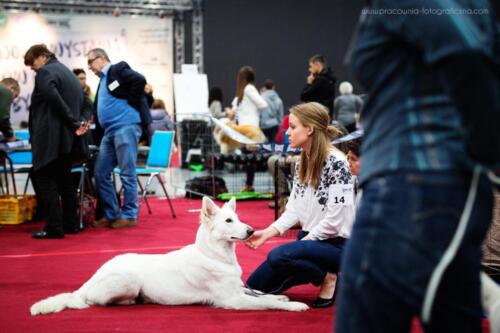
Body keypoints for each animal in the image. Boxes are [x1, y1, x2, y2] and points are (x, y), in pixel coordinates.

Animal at [30, 197, 308, 314]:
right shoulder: (232, 300)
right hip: (129, 279)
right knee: (96, 301)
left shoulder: (239, 290)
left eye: (238, 218)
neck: (214, 255)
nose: (251, 231)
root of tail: (90, 280)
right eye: (229, 221)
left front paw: (281, 296)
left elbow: (262, 294)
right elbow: (267, 302)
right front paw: (293, 305)